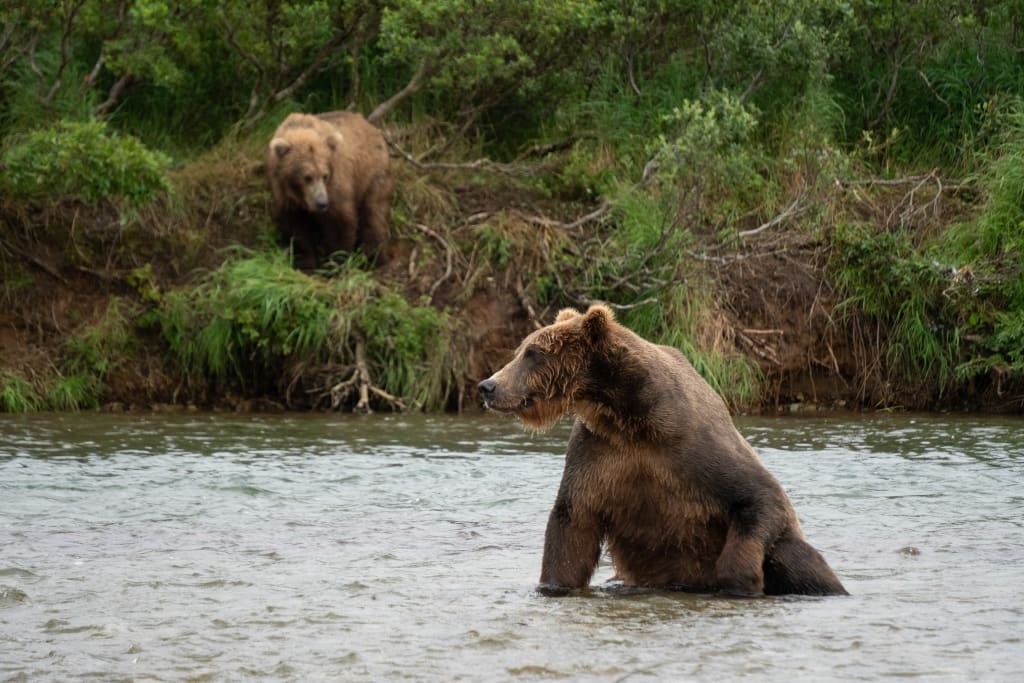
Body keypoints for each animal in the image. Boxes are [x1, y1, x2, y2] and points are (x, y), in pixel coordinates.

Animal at [266, 111, 392, 271]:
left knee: (374, 213)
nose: (321, 203)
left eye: (325, 175)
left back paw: (375, 258)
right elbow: (295, 225)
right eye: (307, 177)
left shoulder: (335, 182)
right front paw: (304, 260)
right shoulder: (283, 191)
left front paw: (335, 262)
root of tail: (372, 127)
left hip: (371, 174)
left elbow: (339, 220)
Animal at [477, 304, 847, 597]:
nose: (488, 386)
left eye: (534, 352)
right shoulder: (599, 453)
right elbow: (572, 522)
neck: (628, 415)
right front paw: (555, 584)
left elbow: (760, 494)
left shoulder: (692, 444)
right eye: (521, 350)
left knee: (798, 561)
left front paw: (742, 580)